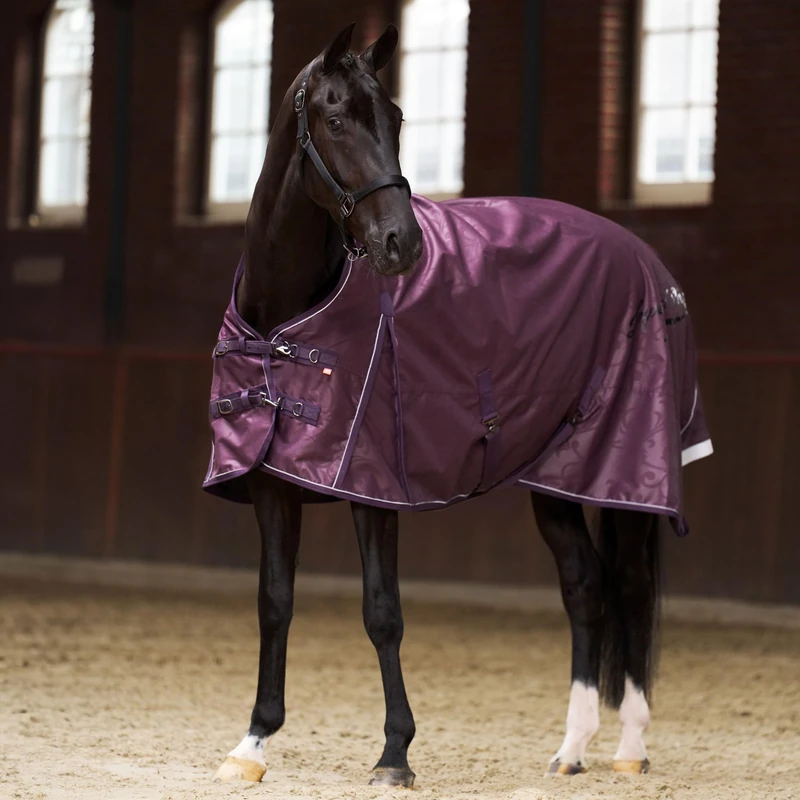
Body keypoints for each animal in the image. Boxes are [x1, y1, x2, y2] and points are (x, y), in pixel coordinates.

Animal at [207, 23, 712, 785]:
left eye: (396, 118)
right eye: (334, 119)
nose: (400, 243)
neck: (287, 319)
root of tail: (649, 265)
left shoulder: (373, 486)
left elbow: (382, 611)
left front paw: (394, 753)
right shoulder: (272, 483)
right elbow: (274, 603)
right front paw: (253, 742)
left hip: (619, 472)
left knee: (625, 583)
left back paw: (627, 747)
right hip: (557, 479)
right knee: (584, 586)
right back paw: (572, 749)